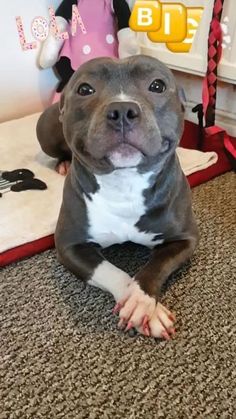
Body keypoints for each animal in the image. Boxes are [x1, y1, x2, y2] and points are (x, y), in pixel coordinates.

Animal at [37, 55, 199, 340]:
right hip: (45, 131)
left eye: (157, 85)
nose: (122, 110)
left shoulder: (185, 239)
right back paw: (63, 163)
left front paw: (142, 300)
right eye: (85, 89)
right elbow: (109, 270)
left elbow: (157, 264)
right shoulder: (69, 246)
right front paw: (138, 303)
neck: (125, 183)